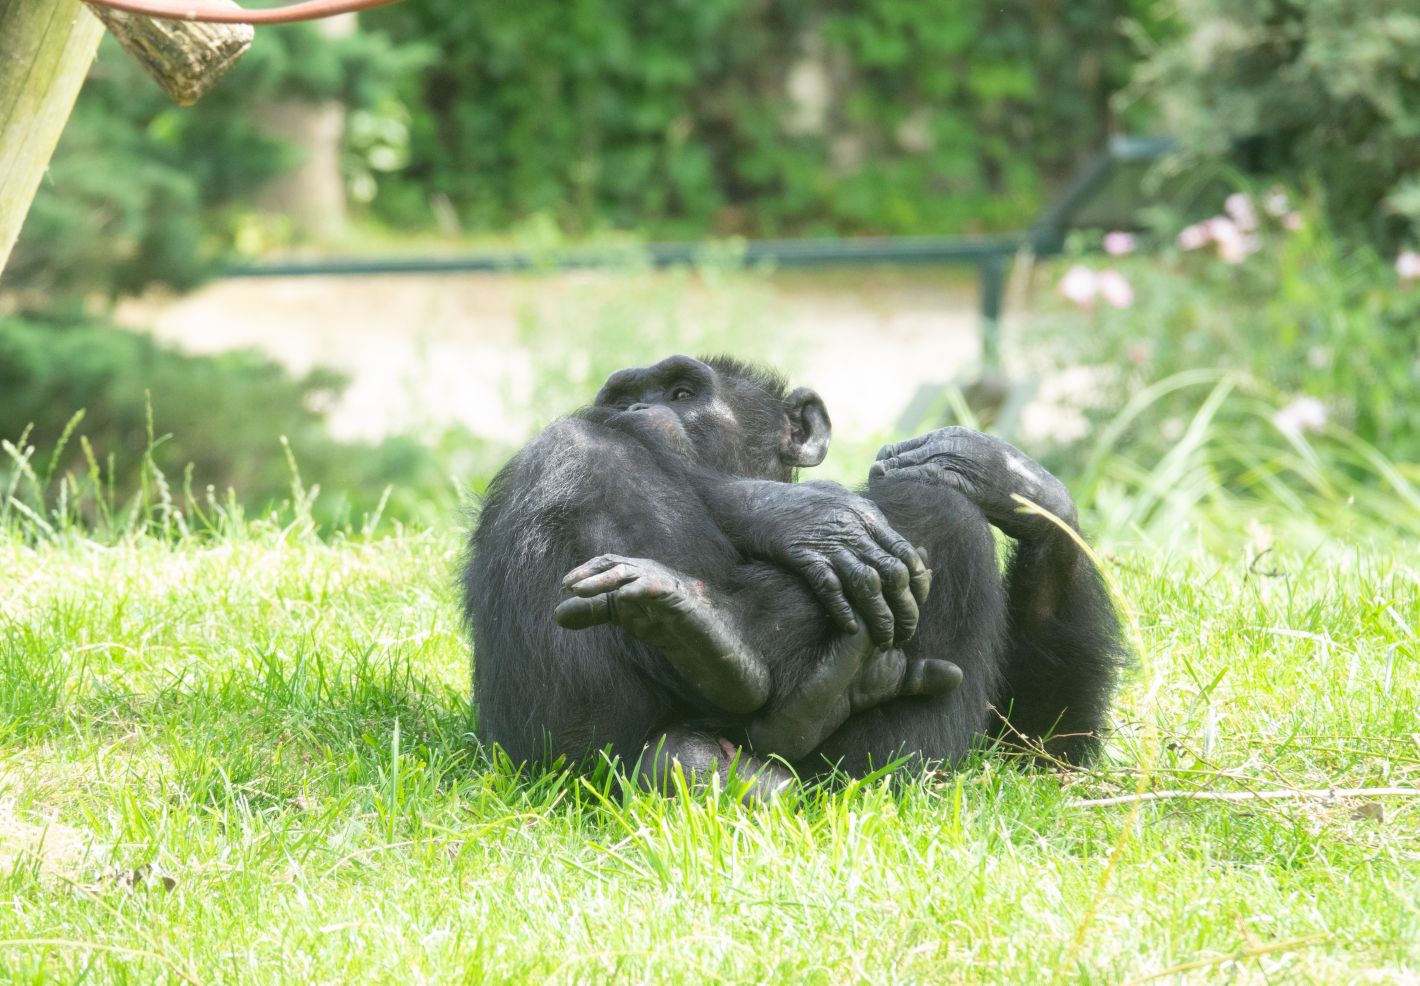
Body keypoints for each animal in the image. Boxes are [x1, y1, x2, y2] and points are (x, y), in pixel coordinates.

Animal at [465, 355, 1118, 789]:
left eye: (682, 392)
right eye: (625, 399)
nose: (640, 409)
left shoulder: (1024, 760)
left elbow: (1037, 749)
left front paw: (1006, 477)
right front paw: (802, 515)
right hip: (558, 756)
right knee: (575, 442)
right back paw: (725, 646)